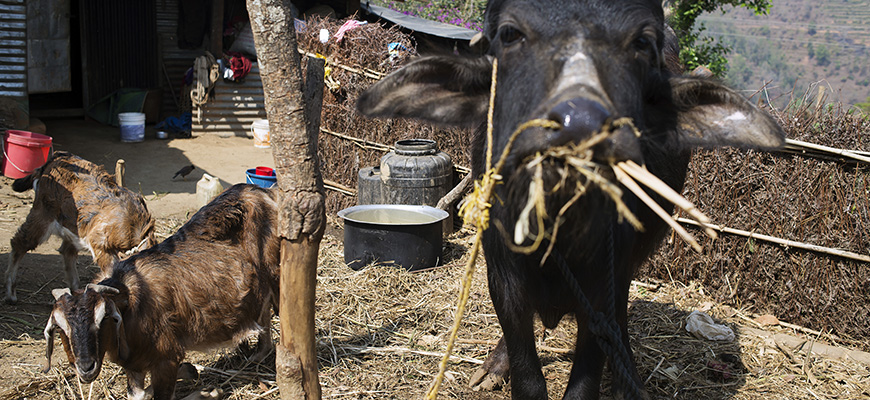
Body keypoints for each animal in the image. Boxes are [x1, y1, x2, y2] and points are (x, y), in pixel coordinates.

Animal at [5, 152, 156, 304]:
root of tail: (56, 156)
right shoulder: (100, 244)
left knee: (67, 251)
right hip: (41, 215)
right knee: (19, 243)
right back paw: (10, 294)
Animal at [42, 184, 280, 400]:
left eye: (103, 318)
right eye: (61, 327)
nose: (86, 367)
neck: (132, 303)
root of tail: (265, 192)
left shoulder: (166, 358)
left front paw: (208, 390)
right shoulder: (133, 363)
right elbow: (137, 395)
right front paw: (195, 376)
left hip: (277, 277)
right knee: (264, 310)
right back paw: (259, 353)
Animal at [358, 0, 788, 396]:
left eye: (642, 43)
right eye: (510, 34)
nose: (579, 123)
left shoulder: (603, 282)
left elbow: (587, 371)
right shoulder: (502, 274)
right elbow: (526, 367)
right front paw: (503, 369)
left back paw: (629, 381)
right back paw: (491, 371)